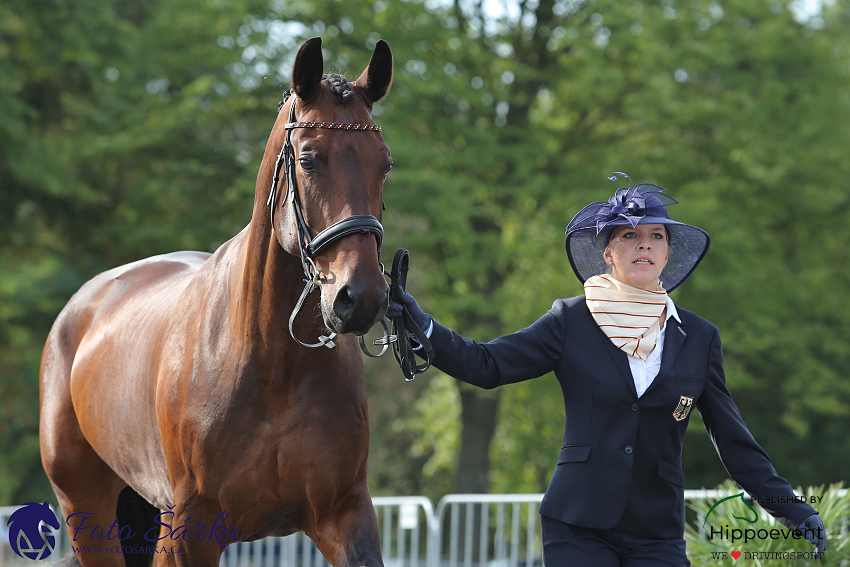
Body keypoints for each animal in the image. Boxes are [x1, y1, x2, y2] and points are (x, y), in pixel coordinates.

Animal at [41, 36, 392, 567]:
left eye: (385, 164)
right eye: (309, 159)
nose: (361, 297)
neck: (270, 360)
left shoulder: (345, 513)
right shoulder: (191, 528)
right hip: (87, 507)